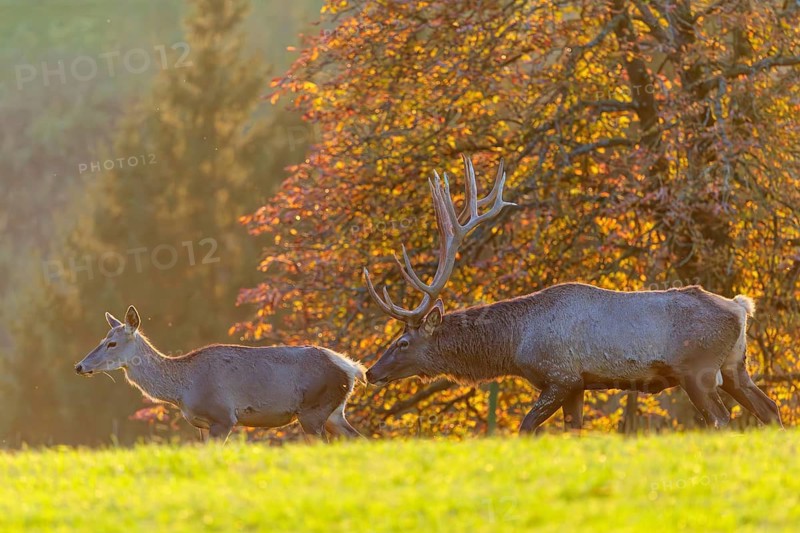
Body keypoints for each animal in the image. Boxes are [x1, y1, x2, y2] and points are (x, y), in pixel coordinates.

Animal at [75, 306, 365, 442]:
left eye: (112, 343)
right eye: (103, 338)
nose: (79, 366)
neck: (182, 390)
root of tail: (351, 368)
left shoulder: (223, 417)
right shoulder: (202, 425)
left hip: (313, 409)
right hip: (334, 412)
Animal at [363, 155, 783, 433]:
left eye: (402, 342)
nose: (370, 372)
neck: (515, 343)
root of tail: (741, 308)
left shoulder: (560, 376)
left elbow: (525, 428)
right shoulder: (579, 384)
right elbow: (573, 432)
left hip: (698, 370)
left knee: (723, 421)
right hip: (735, 366)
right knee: (770, 409)